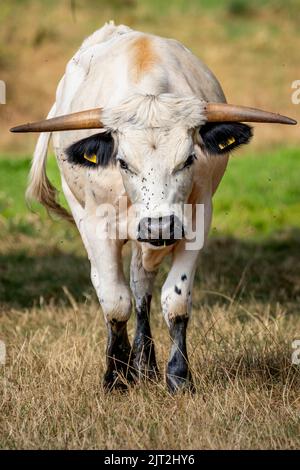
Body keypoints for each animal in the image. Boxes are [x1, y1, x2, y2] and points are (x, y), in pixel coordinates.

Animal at [11, 22, 296, 392]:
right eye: (122, 162)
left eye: (188, 159)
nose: (159, 226)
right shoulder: (97, 226)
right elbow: (115, 301)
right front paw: (116, 378)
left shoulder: (197, 221)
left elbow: (174, 299)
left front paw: (178, 376)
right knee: (109, 284)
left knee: (141, 285)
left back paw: (145, 365)